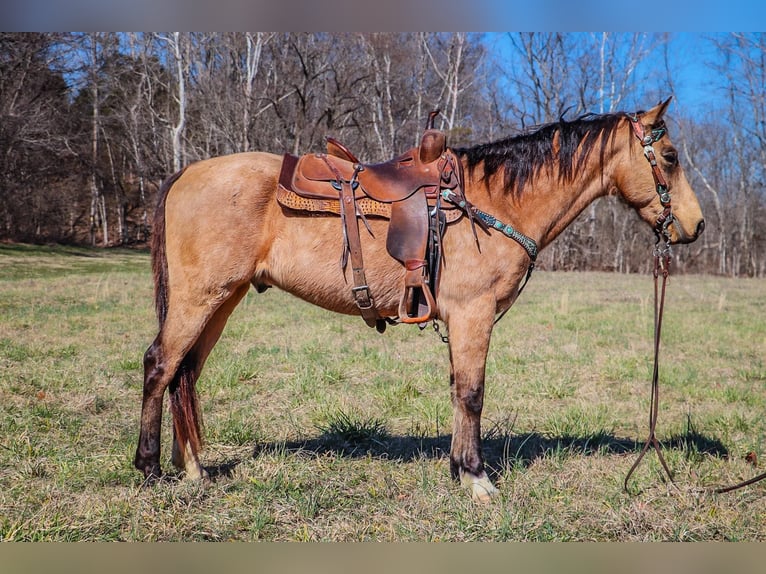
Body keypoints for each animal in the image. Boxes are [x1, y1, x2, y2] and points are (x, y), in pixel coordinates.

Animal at [135, 99, 704, 504]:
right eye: (670, 158)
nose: (696, 226)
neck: (491, 203)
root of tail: (185, 174)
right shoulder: (474, 315)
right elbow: (472, 394)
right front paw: (477, 479)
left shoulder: (463, 321)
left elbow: (457, 391)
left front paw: (458, 468)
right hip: (198, 300)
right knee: (160, 365)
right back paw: (149, 468)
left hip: (222, 300)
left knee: (186, 374)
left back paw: (195, 470)